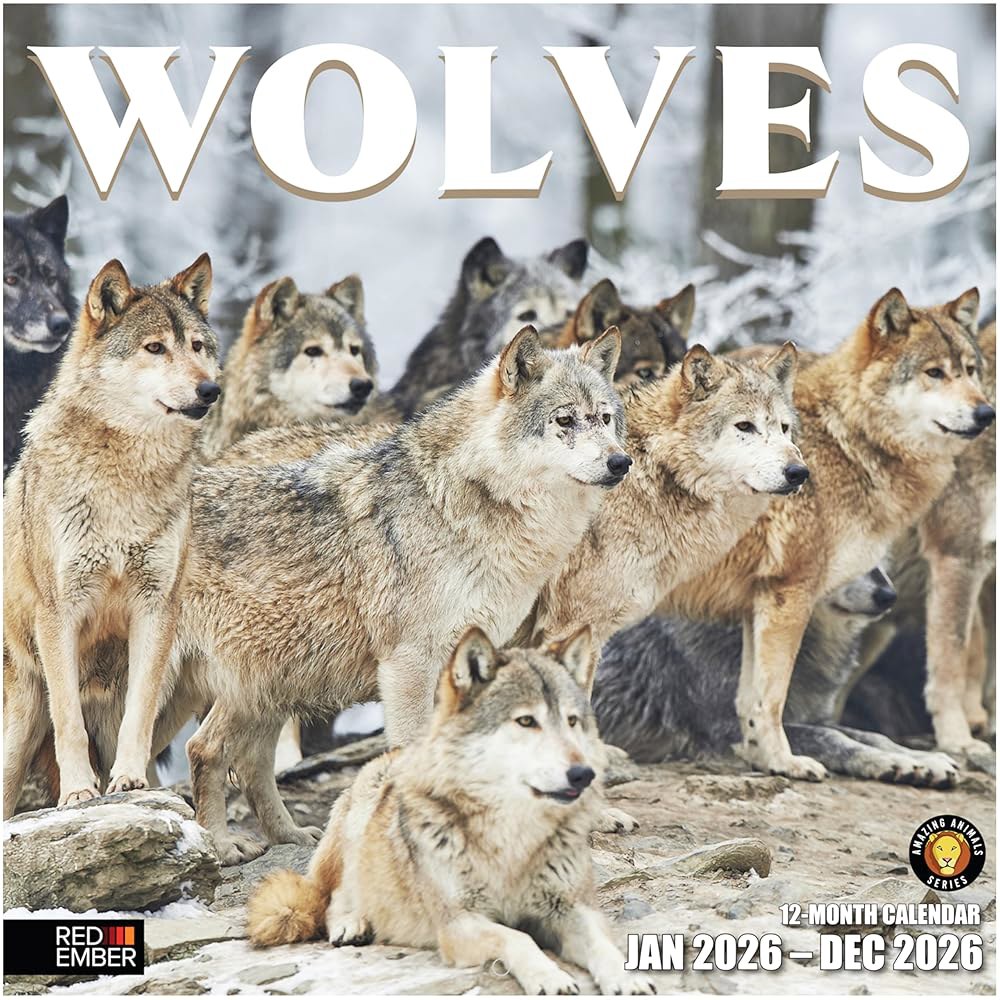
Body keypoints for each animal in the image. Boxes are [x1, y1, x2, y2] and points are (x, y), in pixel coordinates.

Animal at [3, 255, 220, 816]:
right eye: (155, 348)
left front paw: (128, 781)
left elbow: (137, 714)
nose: (209, 390)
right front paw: (80, 791)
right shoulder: (59, 613)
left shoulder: (157, 607)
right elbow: (68, 722)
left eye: (197, 346)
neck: (126, 480)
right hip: (18, 724)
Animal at [177, 327, 627, 863]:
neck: (464, 504)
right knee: (203, 749)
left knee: (238, 758)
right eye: (565, 420)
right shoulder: (409, 663)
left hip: (271, 680)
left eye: (605, 418)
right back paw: (220, 845)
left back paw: (288, 837)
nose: (621, 461)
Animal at [246, 627, 656, 997]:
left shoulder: (568, 909)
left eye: (572, 721)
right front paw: (550, 977)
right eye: (526, 721)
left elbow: (602, 945)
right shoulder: (458, 923)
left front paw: (627, 978)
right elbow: (518, 938)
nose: (583, 774)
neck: (513, 839)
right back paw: (352, 923)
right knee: (332, 897)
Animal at [593, 568, 959, 787]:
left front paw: (920, 760)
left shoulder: (813, 716)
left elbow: (871, 735)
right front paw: (892, 761)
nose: (888, 595)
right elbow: (833, 739)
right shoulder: (728, 732)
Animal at [663, 288, 994, 781]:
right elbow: (949, 663)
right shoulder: (953, 557)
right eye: (934, 373)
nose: (985, 412)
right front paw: (960, 743)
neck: (849, 440)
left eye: (971, 371)